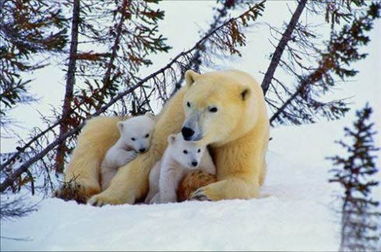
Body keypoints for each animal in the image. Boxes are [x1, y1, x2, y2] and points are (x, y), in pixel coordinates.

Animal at [56, 69, 268, 205]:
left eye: (213, 108)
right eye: (189, 103)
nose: (188, 131)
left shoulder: (244, 135)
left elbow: (241, 178)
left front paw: (203, 192)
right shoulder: (176, 116)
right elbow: (150, 155)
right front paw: (103, 200)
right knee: (96, 132)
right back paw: (75, 189)